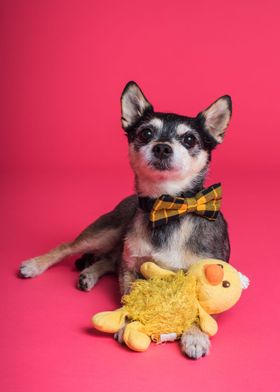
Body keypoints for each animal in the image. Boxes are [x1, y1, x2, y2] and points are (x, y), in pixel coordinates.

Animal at [19, 82, 232, 358]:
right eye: (146, 133)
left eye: (189, 139)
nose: (162, 147)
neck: (168, 206)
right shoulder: (132, 266)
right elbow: (130, 297)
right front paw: (130, 326)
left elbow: (198, 307)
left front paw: (195, 336)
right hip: (105, 232)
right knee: (70, 247)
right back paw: (35, 265)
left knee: (111, 259)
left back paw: (88, 274)